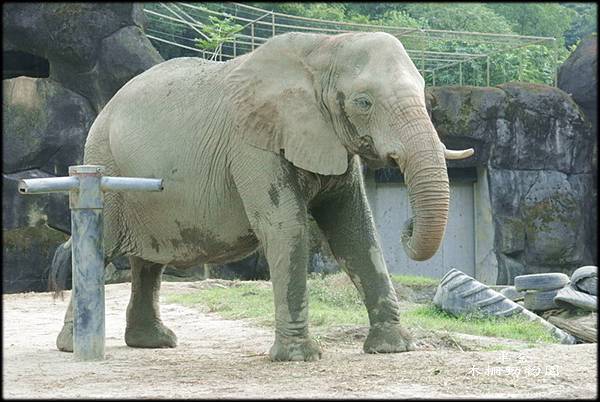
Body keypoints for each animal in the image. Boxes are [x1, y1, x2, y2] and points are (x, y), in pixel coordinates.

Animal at [55, 31, 474, 362]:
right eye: (363, 102)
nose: (408, 224)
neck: (324, 48)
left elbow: (354, 229)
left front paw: (393, 348)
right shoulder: (253, 144)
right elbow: (285, 226)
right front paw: (299, 358)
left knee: (149, 262)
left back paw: (153, 343)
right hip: (103, 166)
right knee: (101, 249)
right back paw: (73, 346)